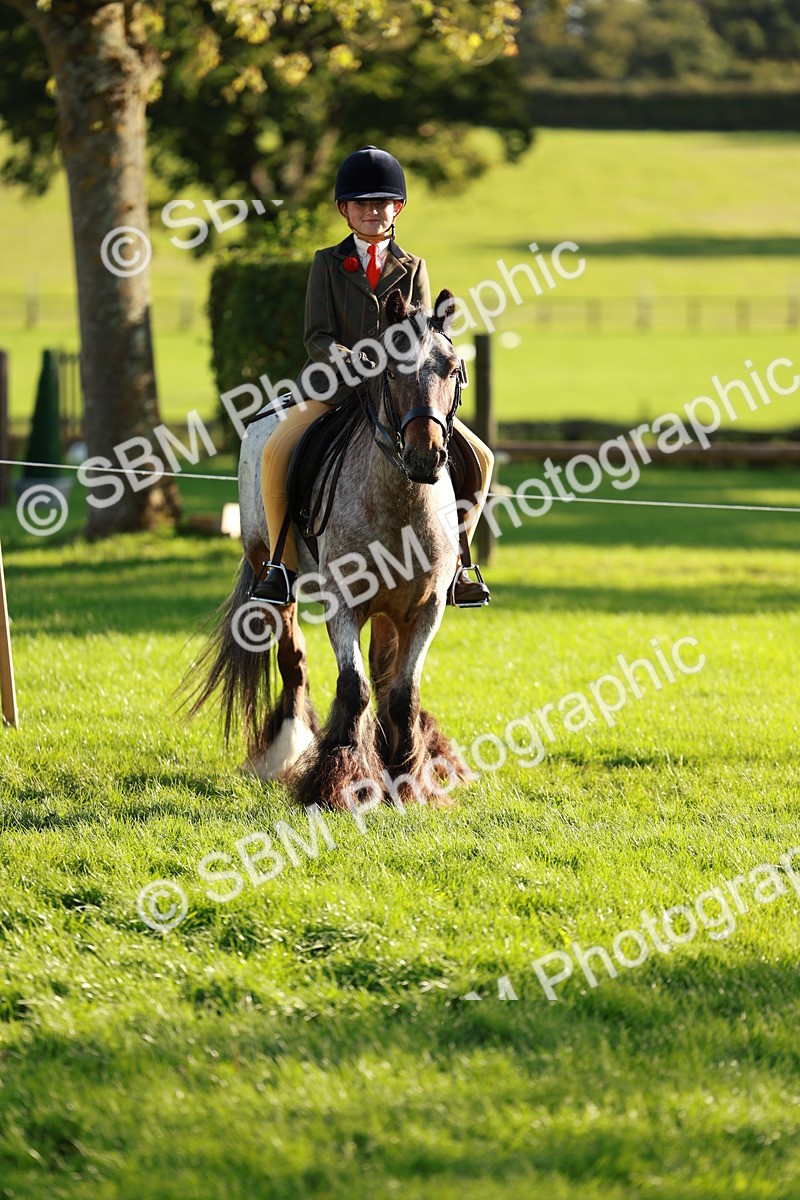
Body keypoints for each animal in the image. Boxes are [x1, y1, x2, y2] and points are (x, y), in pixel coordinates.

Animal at [183, 287, 473, 811]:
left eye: (452, 369)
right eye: (390, 371)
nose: (425, 456)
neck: (401, 501)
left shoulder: (426, 608)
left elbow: (402, 692)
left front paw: (409, 782)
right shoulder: (343, 603)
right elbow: (353, 688)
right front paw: (339, 782)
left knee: (382, 673)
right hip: (271, 567)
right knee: (292, 658)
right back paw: (285, 752)